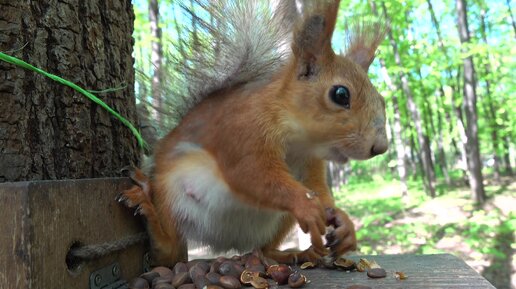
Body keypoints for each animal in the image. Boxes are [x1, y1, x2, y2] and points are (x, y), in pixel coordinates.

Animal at [121, 0, 388, 266]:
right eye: (341, 94)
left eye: (382, 100)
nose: (381, 147)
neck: (298, 140)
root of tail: (224, 243)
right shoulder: (242, 130)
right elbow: (252, 174)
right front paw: (306, 204)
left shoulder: (310, 162)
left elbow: (318, 188)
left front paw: (343, 222)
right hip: (168, 192)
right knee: (169, 252)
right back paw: (149, 211)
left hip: (281, 221)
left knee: (264, 249)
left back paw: (294, 254)